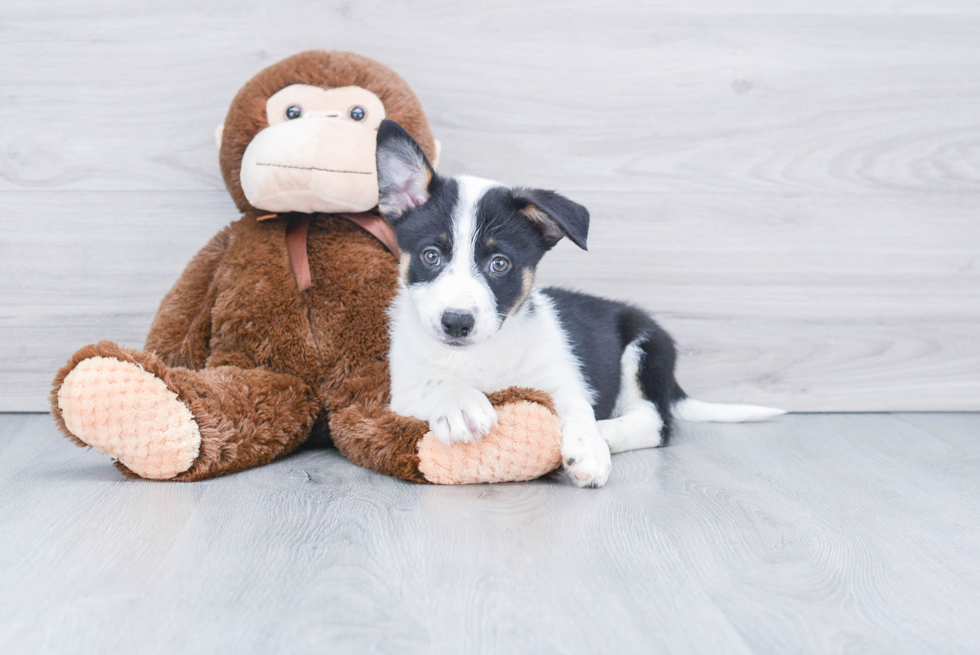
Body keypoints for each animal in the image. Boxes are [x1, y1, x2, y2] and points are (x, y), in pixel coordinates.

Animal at [374, 120, 780, 486]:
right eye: (431, 256)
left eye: (499, 264)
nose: (457, 322)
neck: (479, 355)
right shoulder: (400, 392)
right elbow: (435, 381)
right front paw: (461, 402)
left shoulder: (562, 375)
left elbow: (576, 404)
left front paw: (588, 446)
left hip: (644, 349)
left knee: (656, 423)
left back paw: (606, 433)